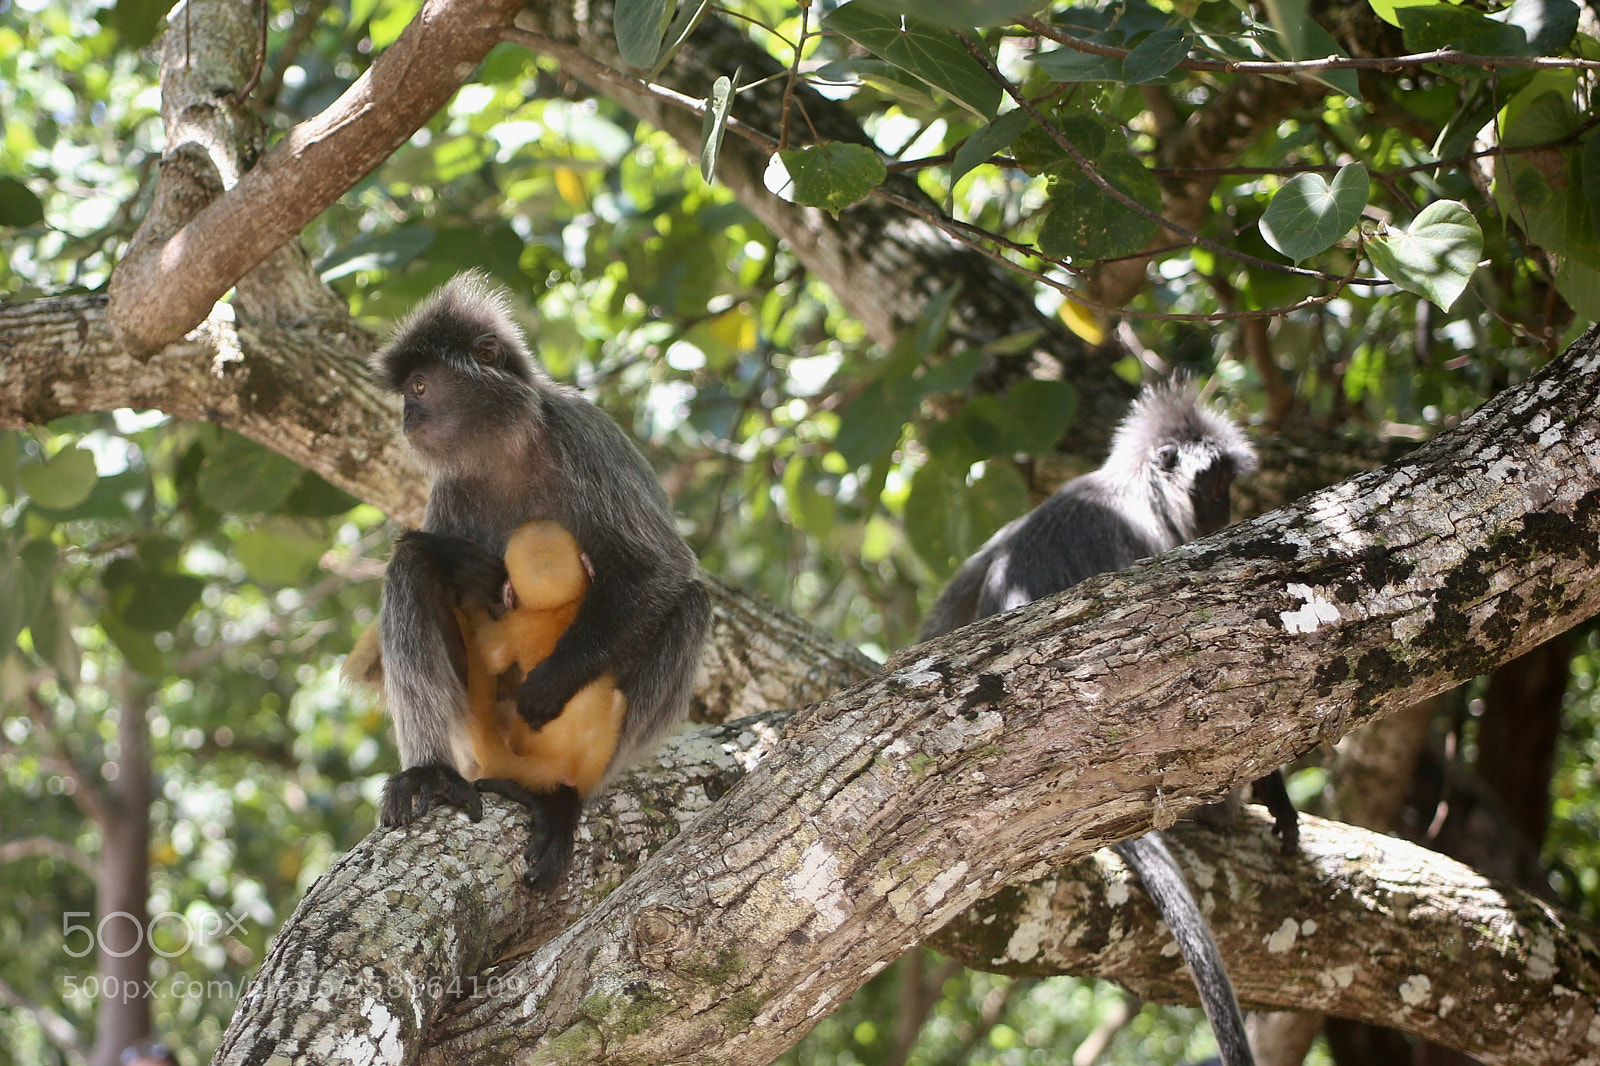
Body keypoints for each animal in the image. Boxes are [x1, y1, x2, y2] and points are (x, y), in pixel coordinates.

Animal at [352, 270, 711, 888]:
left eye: (419, 387)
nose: (405, 419)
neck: (508, 451)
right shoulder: (452, 488)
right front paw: (458, 560)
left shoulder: (585, 437)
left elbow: (661, 567)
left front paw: (548, 684)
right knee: (409, 571)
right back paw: (431, 773)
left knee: (691, 603)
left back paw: (563, 794)